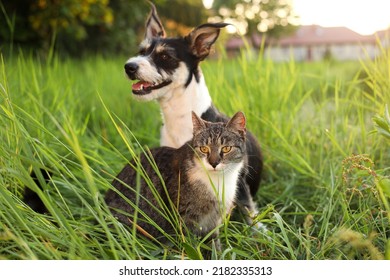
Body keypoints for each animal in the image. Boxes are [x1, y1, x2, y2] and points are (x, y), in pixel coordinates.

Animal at [104, 110, 247, 242]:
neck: (217, 181)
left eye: (226, 148)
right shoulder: (183, 220)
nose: (214, 163)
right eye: (204, 148)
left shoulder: (213, 223)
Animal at [122, 3, 262, 224]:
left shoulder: (238, 182)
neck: (179, 118)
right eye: (141, 51)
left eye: (165, 56)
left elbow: (249, 214)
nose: (129, 67)